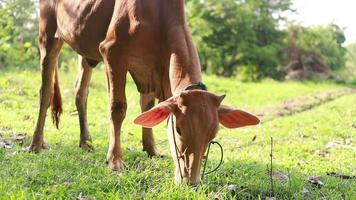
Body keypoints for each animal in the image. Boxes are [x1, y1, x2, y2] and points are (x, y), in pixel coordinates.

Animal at [29, 0, 258, 185]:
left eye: (212, 136)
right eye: (179, 130)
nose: (191, 181)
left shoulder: (150, 71)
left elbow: (147, 108)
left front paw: (151, 150)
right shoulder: (113, 52)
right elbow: (117, 108)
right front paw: (115, 161)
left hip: (87, 52)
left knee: (80, 92)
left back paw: (86, 142)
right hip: (48, 36)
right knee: (45, 91)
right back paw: (35, 145)